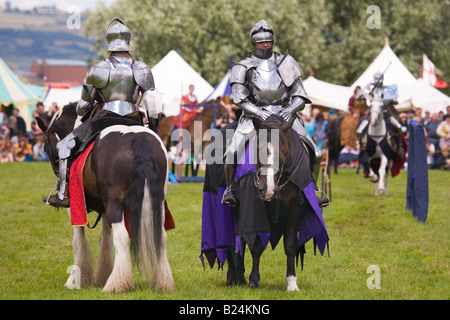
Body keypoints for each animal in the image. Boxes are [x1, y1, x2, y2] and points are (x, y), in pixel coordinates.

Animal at [37, 104, 174, 294]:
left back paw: (117, 284)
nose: (59, 181)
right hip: (156, 204)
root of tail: (138, 139)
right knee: (160, 236)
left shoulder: (76, 208)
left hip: (115, 205)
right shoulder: (104, 209)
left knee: (122, 236)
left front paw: (75, 279)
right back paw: (162, 282)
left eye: (45, 148)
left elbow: (79, 241)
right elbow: (105, 239)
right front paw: (102, 275)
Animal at [202, 114, 328, 290]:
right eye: (257, 150)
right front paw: (254, 280)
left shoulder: (296, 209)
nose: (266, 189)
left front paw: (291, 282)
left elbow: (290, 244)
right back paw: (234, 277)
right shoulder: (253, 210)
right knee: (234, 243)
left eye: (283, 153)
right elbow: (256, 245)